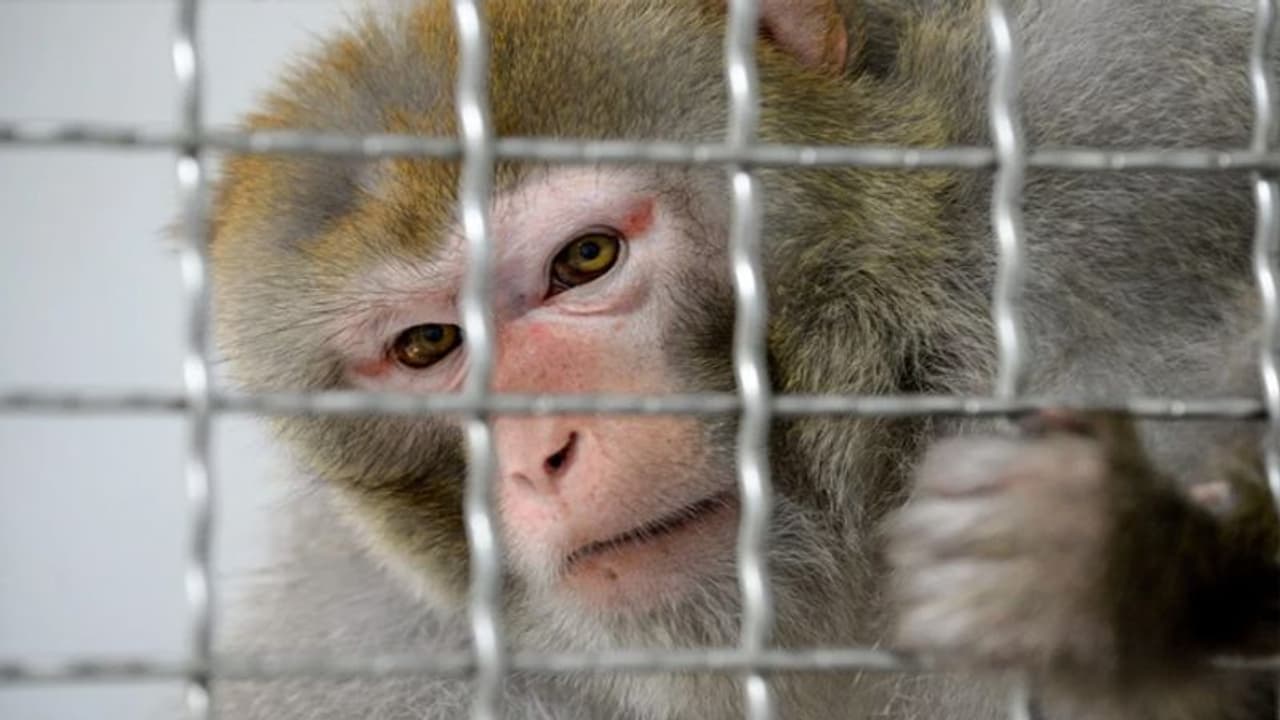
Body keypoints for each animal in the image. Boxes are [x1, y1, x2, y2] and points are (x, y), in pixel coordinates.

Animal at [207, 0, 1280, 718]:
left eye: (585, 258)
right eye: (429, 343)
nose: (543, 452)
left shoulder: (1118, 151)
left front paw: (1114, 570)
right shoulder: (371, 647)